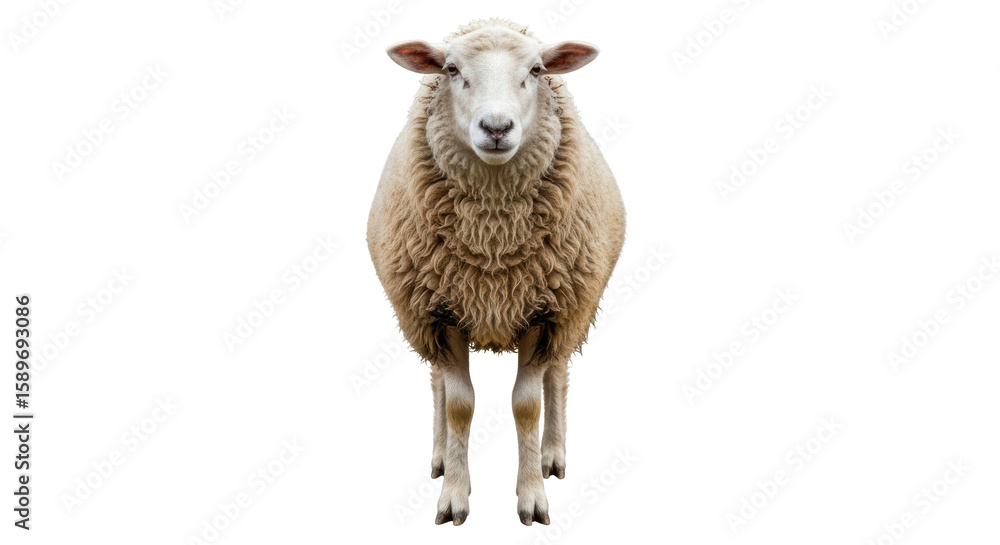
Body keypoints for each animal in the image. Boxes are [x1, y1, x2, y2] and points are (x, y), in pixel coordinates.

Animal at [367, 18, 626, 526]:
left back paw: (552, 456)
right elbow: (459, 406)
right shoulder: (439, 312)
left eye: (537, 69)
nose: (497, 127)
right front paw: (454, 495)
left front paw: (532, 498)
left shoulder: (546, 314)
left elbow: (527, 406)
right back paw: (439, 454)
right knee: (437, 385)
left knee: (557, 376)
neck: (493, 241)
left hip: (573, 306)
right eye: (450, 69)